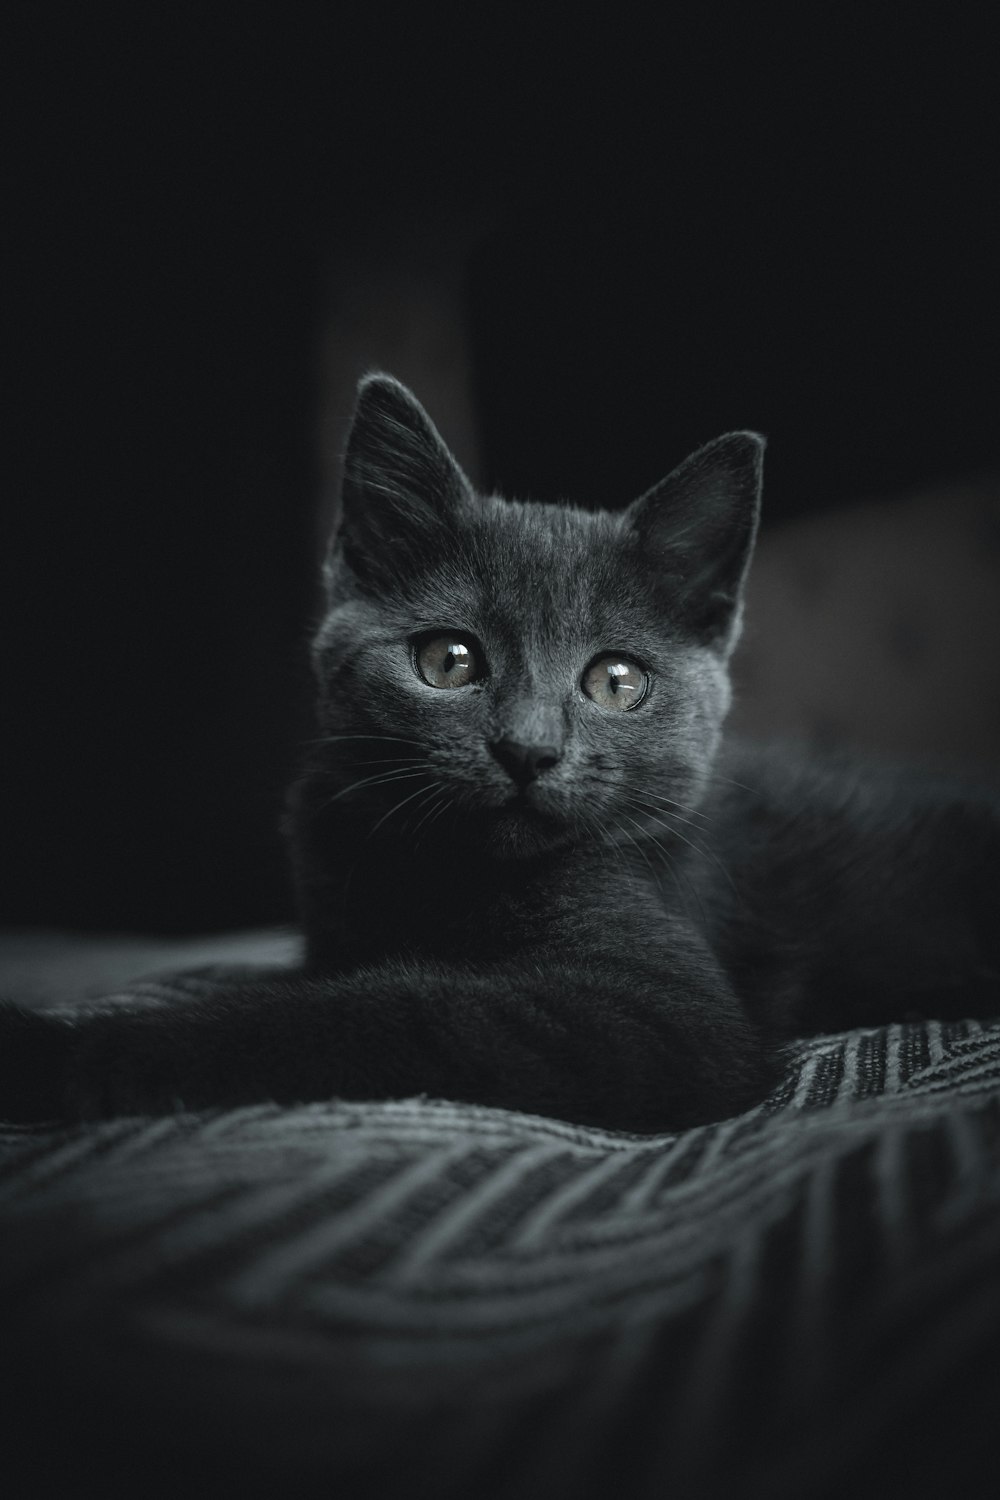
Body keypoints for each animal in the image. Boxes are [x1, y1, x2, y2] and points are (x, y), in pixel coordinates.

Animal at [1, 375, 1000, 1128]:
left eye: (616, 681)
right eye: (449, 661)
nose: (529, 749)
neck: (427, 867)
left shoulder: (665, 1012)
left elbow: (384, 1014)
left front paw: (52, 1052)